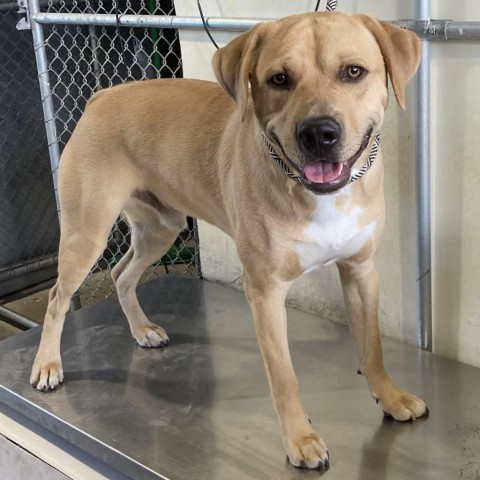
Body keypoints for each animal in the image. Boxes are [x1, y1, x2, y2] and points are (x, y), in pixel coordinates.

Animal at [31, 12, 426, 472]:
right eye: (279, 79)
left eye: (353, 72)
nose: (318, 133)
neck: (317, 194)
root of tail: (101, 97)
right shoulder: (265, 292)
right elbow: (284, 377)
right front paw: (300, 438)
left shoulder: (361, 271)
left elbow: (373, 347)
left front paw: (390, 397)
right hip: (87, 233)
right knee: (58, 298)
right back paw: (47, 365)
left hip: (161, 228)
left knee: (121, 273)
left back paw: (142, 328)